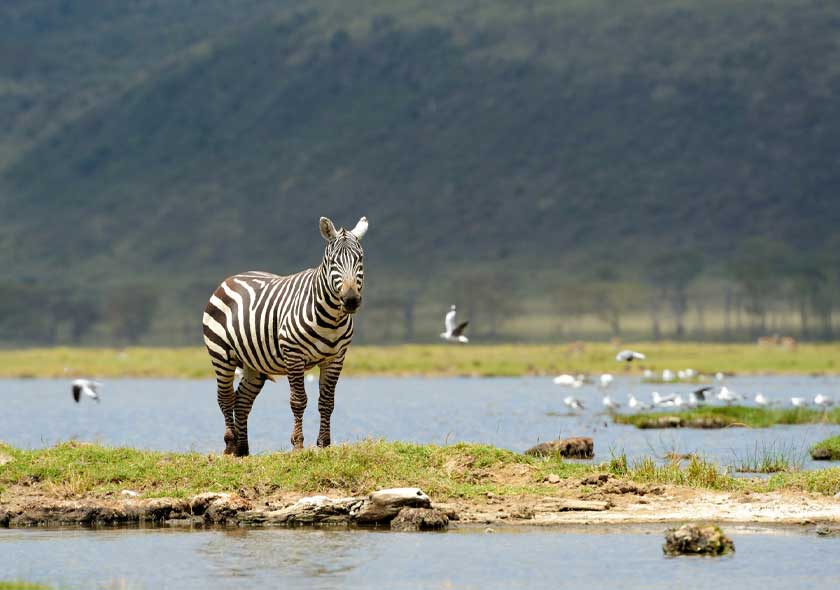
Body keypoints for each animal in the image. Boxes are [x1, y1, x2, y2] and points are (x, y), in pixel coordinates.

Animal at [203, 217, 368, 458]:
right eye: (332, 262)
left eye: (360, 259)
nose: (351, 300)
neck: (331, 319)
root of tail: (231, 278)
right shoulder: (293, 354)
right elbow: (299, 401)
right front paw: (298, 444)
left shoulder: (336, 358)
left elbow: (327, 402)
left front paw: (324, 444)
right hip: (221, 354)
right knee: (225, 397)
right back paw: (230, 445)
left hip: (255, 364)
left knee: (242, 400)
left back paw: (243, 450)